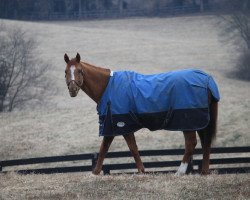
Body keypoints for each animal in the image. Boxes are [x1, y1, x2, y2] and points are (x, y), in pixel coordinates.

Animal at [64, 52, 219, 175]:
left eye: (79, 70)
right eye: (65, 71)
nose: (72, 90)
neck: (108, 87)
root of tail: (207, 80)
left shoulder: (120, 125)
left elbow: (126, 148)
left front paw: (140, 171)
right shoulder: (115, 126)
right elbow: (112, 148)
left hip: (188, 122)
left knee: (191, 143)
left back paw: (179, 172)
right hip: (200, 122)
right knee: (206, 142)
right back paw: (204, 171)